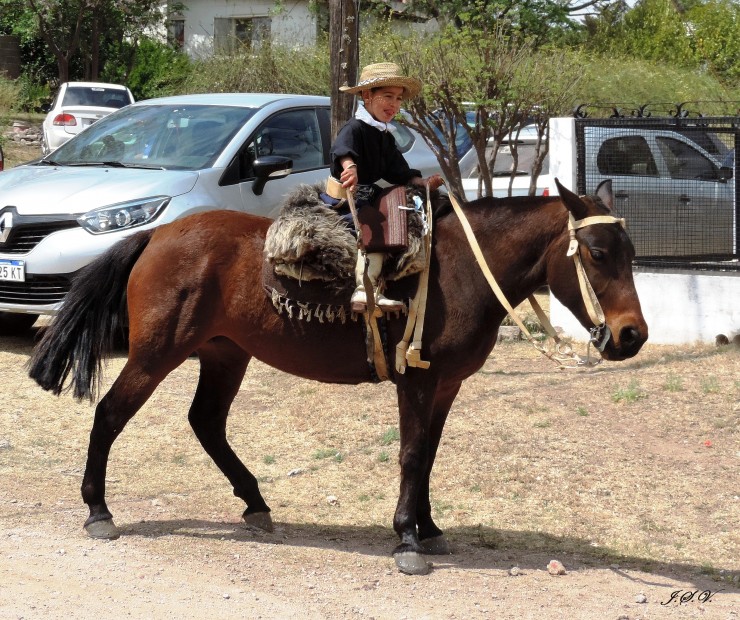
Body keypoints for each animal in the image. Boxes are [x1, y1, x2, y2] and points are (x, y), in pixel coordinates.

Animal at [27, 179, 648, 576]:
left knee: (206, 422)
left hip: (225, 355)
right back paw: (99, 510)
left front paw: (429, 528)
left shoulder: (445, 385)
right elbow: (412, 455)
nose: (631, 335)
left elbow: (429, 455)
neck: (462, 270)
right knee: (110, 414)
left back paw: (255, 503)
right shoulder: (415, 382)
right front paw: (406, 538)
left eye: (631, 252)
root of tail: (157, 235)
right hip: (156, 354)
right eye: (596, 253)